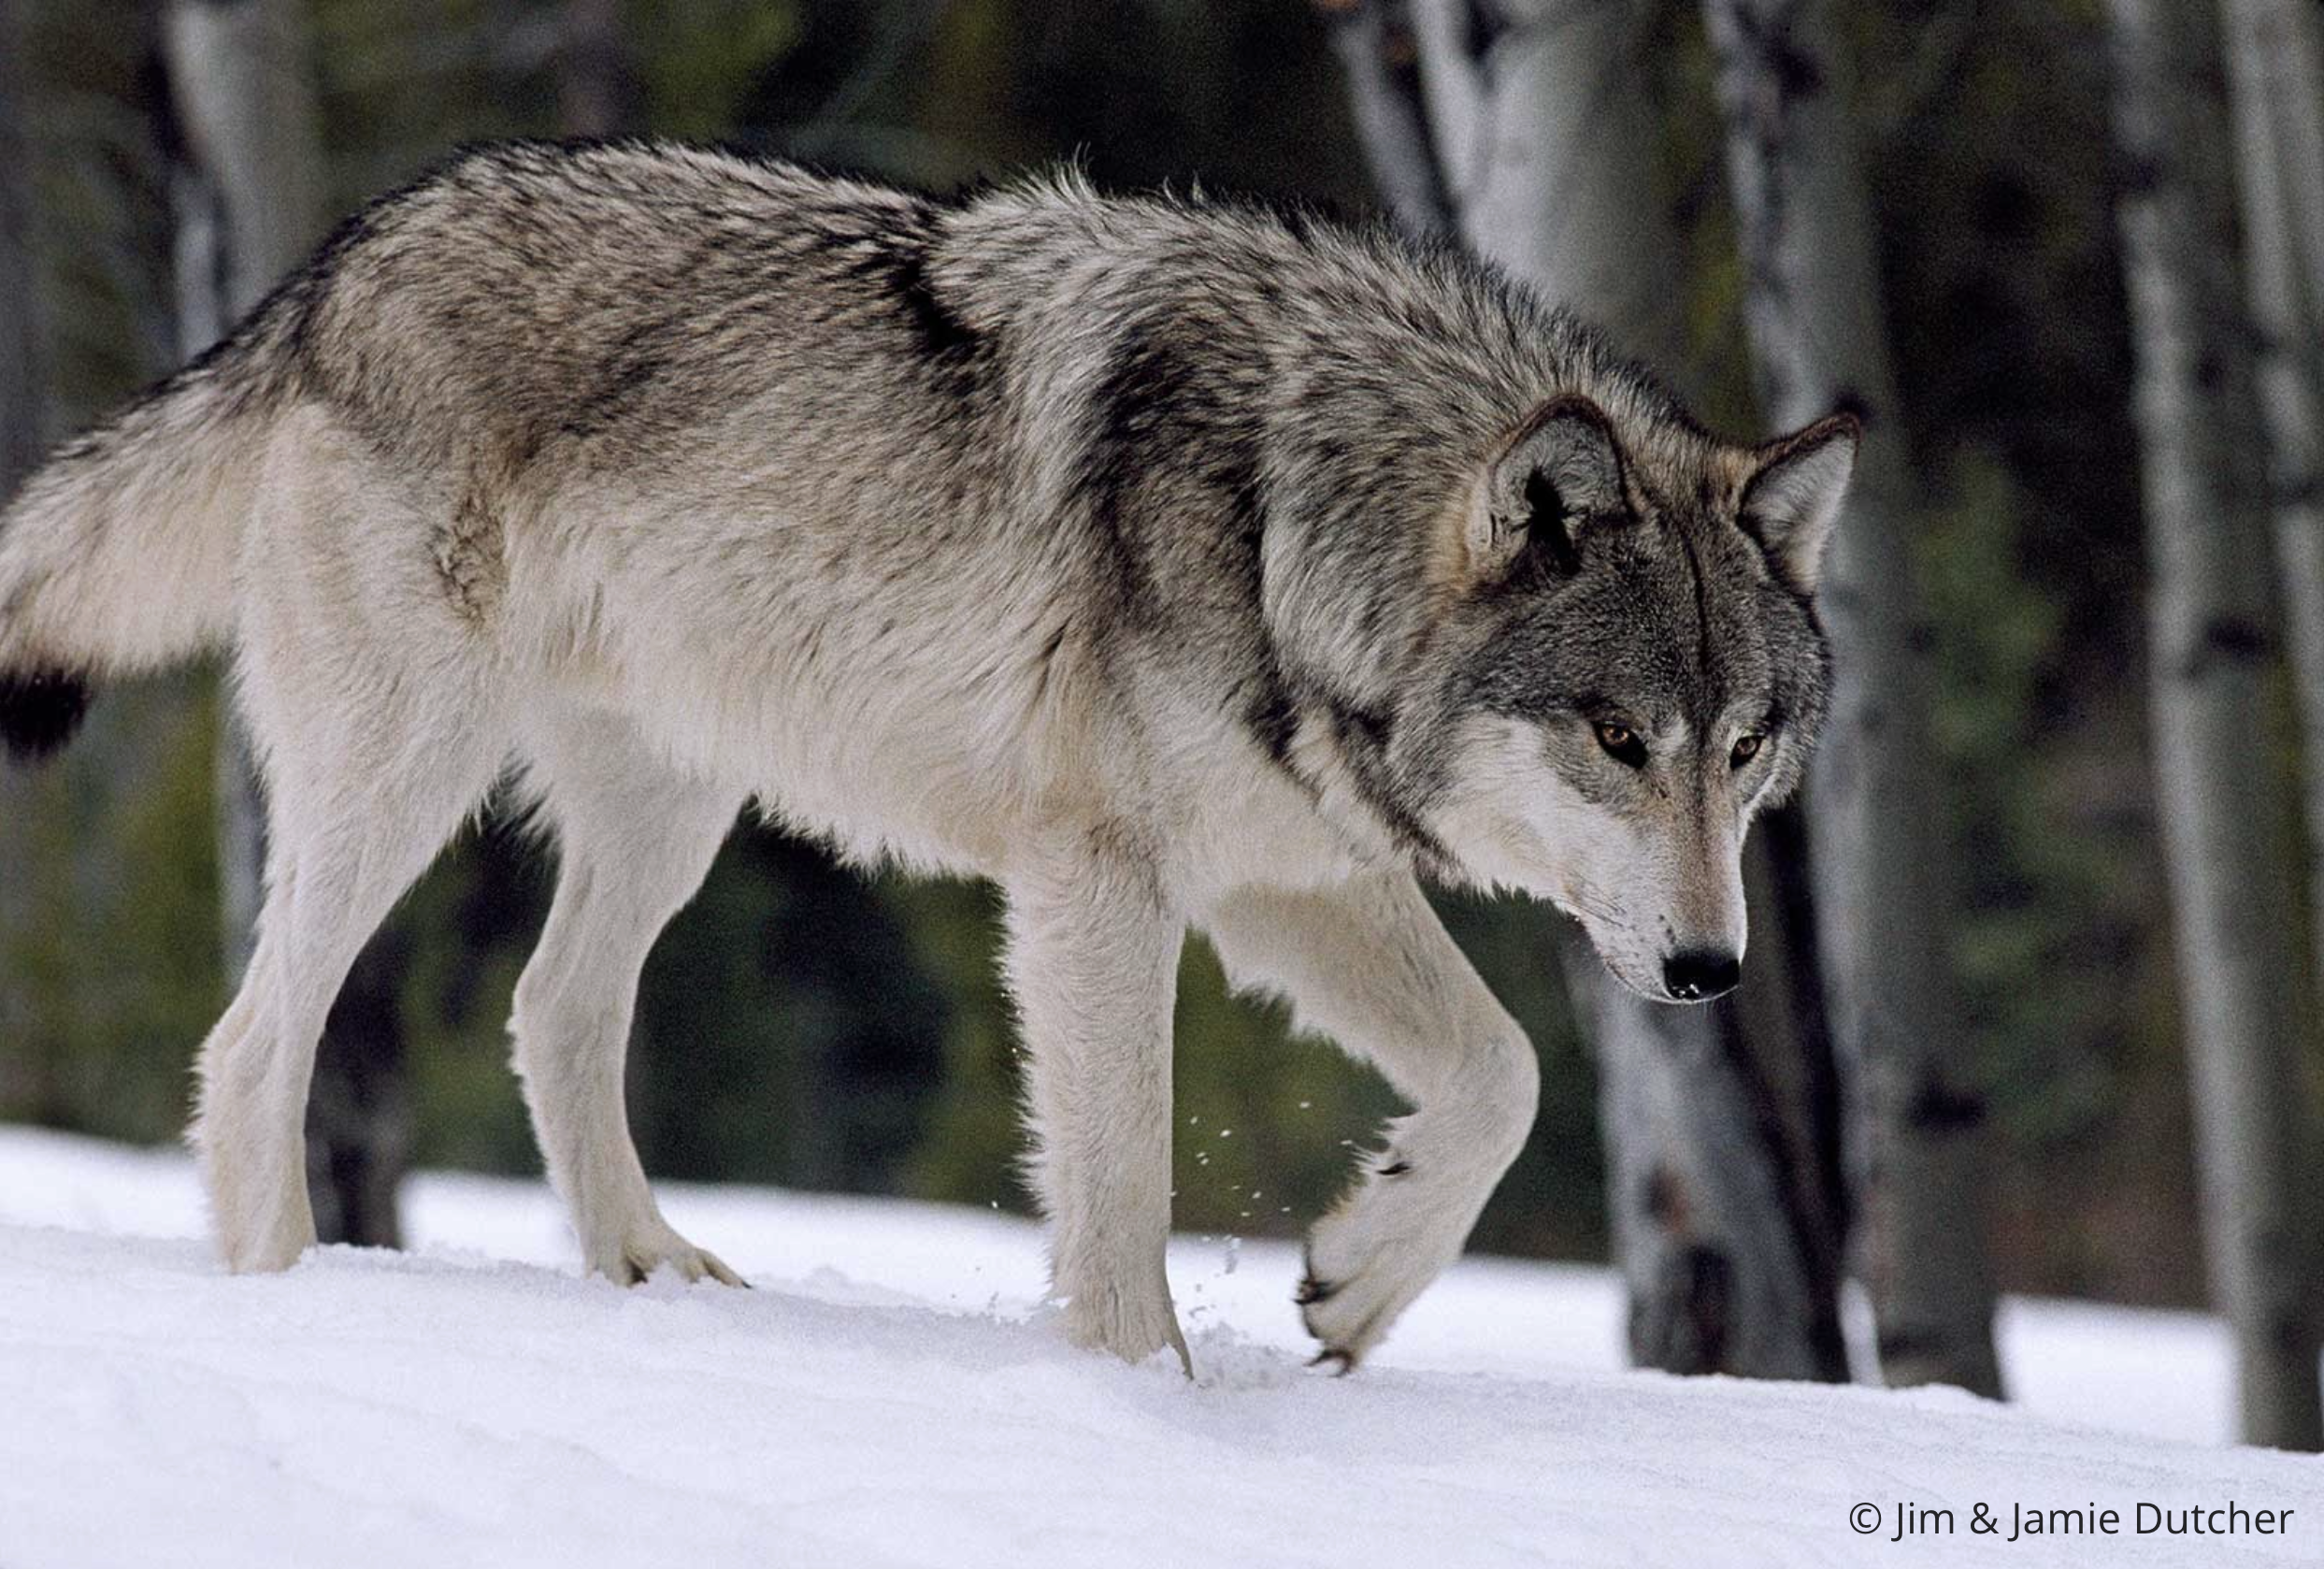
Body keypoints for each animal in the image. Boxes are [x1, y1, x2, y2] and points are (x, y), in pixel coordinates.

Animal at [0, 141, 1853, 1371]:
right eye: (1617, 738)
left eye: (1746, 747)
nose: (1710, 969)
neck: (1280, 517)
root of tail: (345, 259)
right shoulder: (1102, 884)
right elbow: (1115, 1182)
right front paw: (1148, 1404)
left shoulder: (1281, 879)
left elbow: (1502, 1075)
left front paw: (1357, 1277)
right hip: (407, 780)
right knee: (254, 1043)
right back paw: (289, 1305)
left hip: (671, 810)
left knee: (551, 1012)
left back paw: (647, 1278)